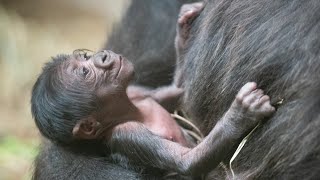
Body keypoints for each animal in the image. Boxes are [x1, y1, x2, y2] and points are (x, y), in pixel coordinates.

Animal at [31, 2, 274, 177]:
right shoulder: (127, 133)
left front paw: (184, 29)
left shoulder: (138, 93)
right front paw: (239, 115)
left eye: (84, 57)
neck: (130, 110)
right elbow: (187, 161)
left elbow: (179, 89)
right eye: (85, 73)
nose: (103, 56)